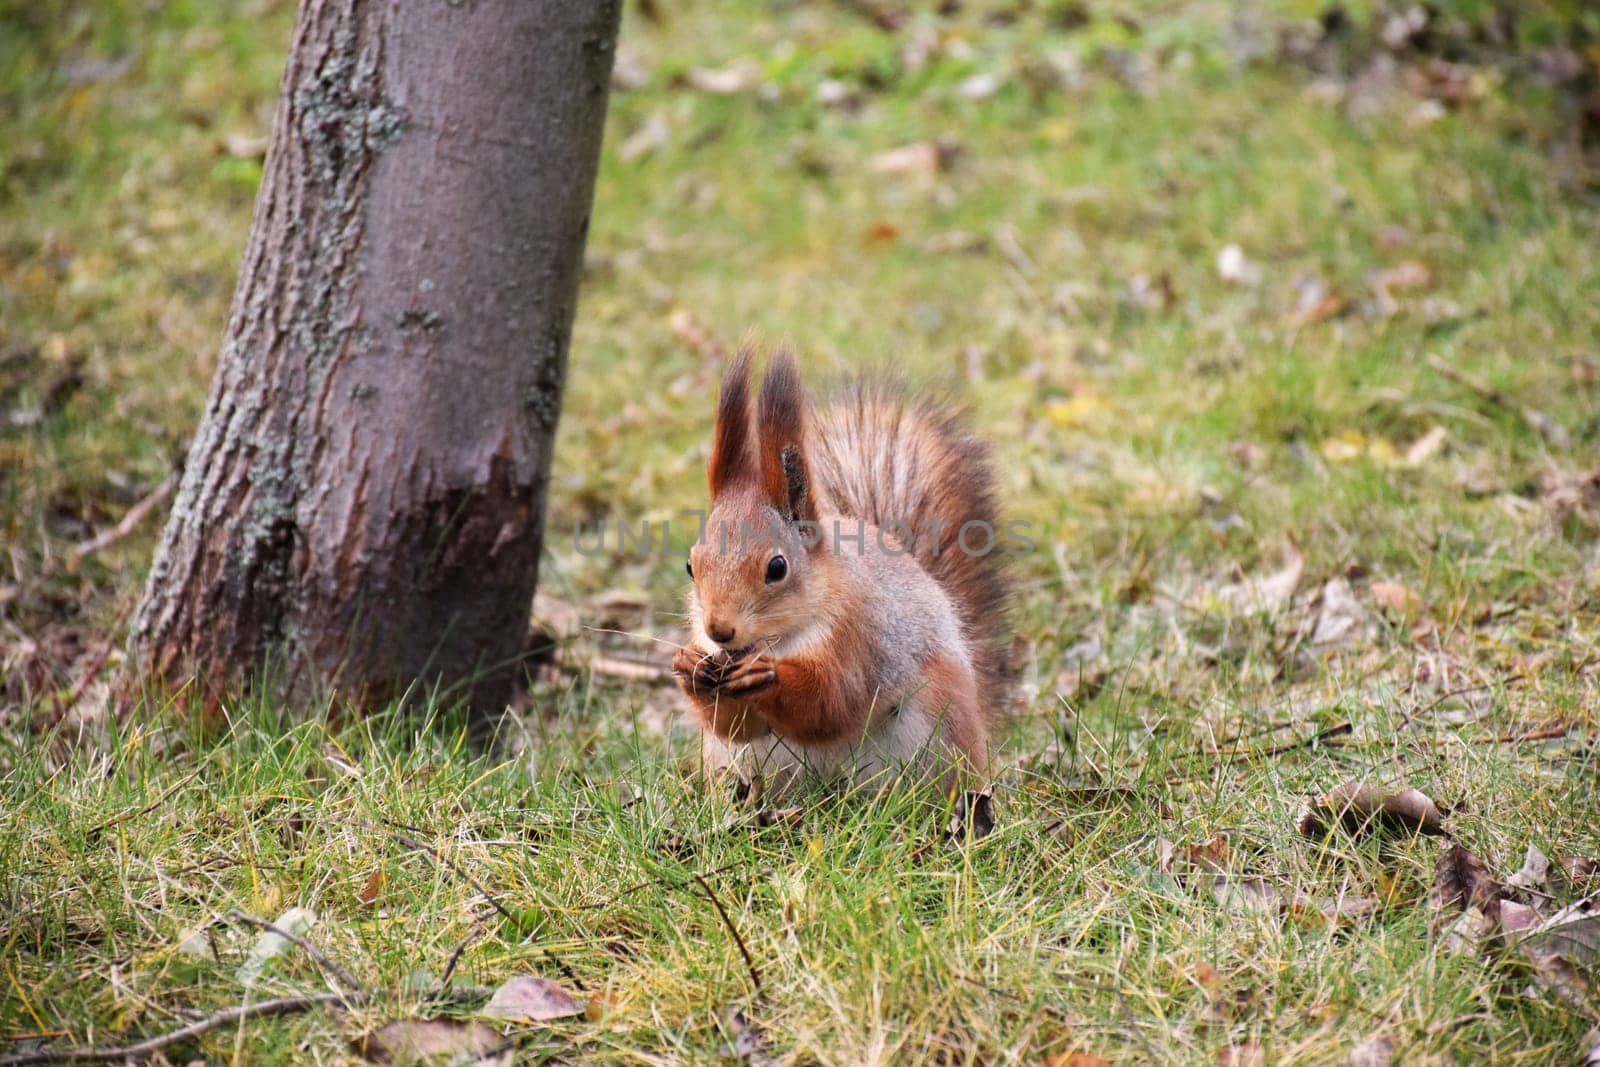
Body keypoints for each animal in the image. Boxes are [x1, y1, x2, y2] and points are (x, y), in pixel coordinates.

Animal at [668, 350, 1004, 793]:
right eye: (691, 566)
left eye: (777, 567)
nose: (719, 630)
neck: (778, 639)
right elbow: (736, 726)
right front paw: (688, 666)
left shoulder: (857, 638)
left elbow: (831, 702)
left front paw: (768, 677)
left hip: (940, 719)